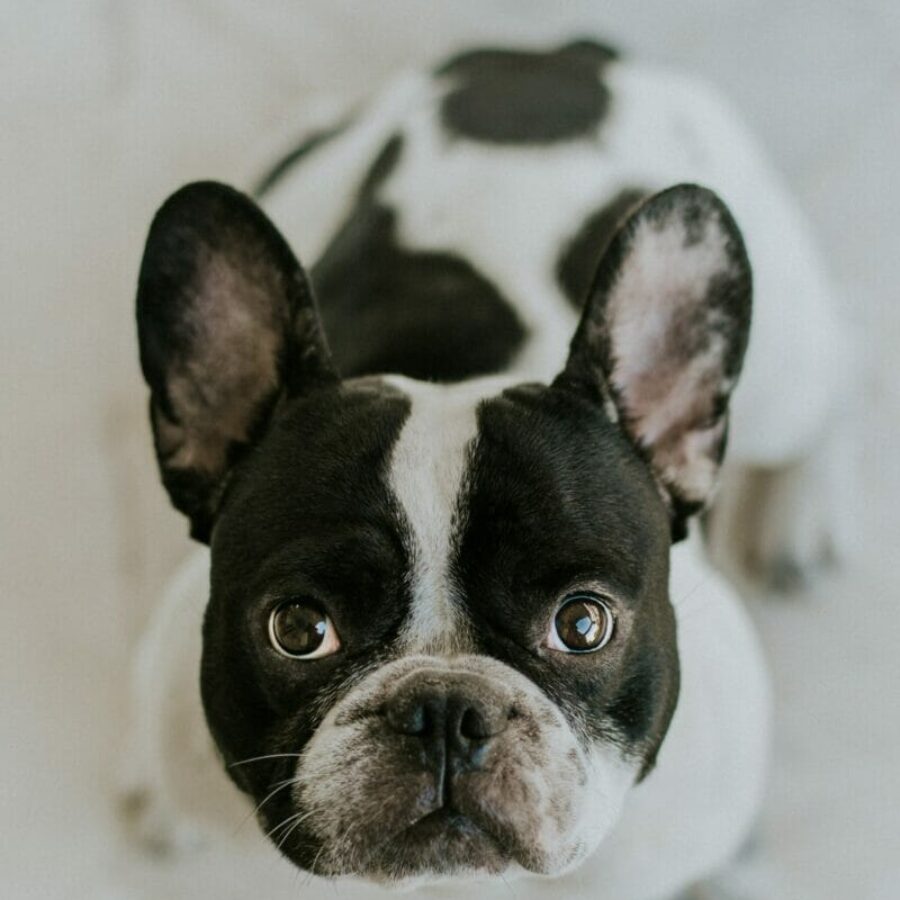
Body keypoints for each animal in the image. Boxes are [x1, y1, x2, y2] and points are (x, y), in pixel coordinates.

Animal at [125, 40, 852, 900]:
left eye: (583, 624)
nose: (445, 711)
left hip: (787, 372)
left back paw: (800, 515)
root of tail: (551, 56)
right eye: (298, 629)